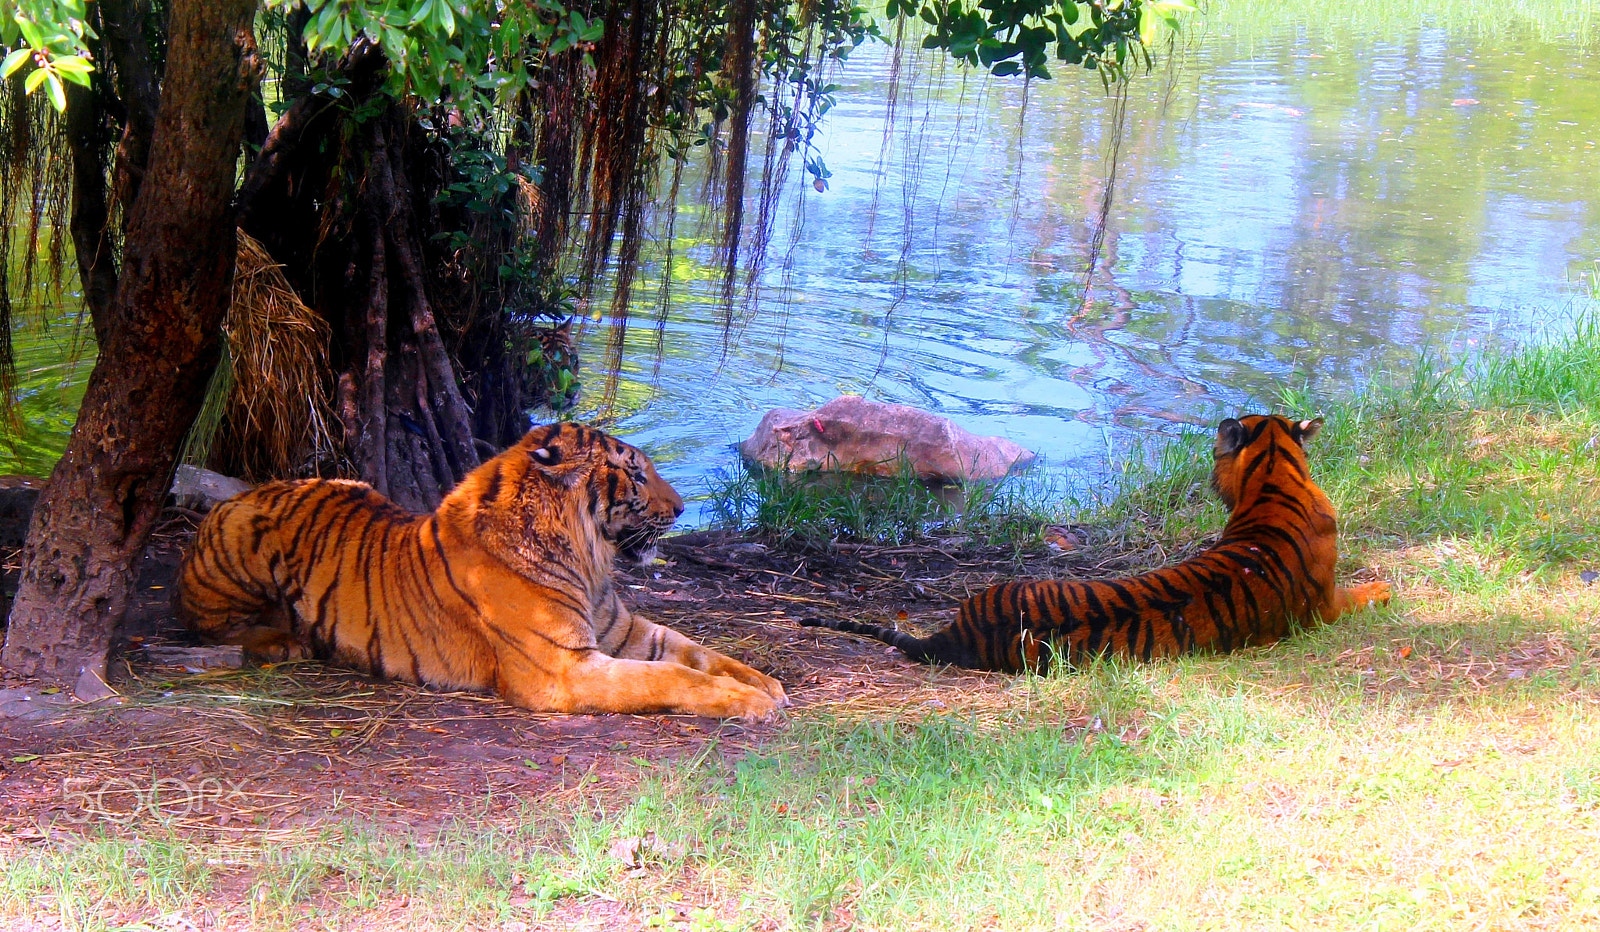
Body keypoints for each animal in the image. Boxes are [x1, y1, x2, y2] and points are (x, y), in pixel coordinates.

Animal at [177, 422, 788, 719]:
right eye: (636, 474)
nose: (683, 508)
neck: (588, 560)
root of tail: (240, 494)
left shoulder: (624, 632)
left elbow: (696, 651)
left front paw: (764, 683)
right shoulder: (564, 668)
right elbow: (670, 676)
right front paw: (751, 703)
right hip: (238, 550)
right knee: (211, 629)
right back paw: (286, 642)